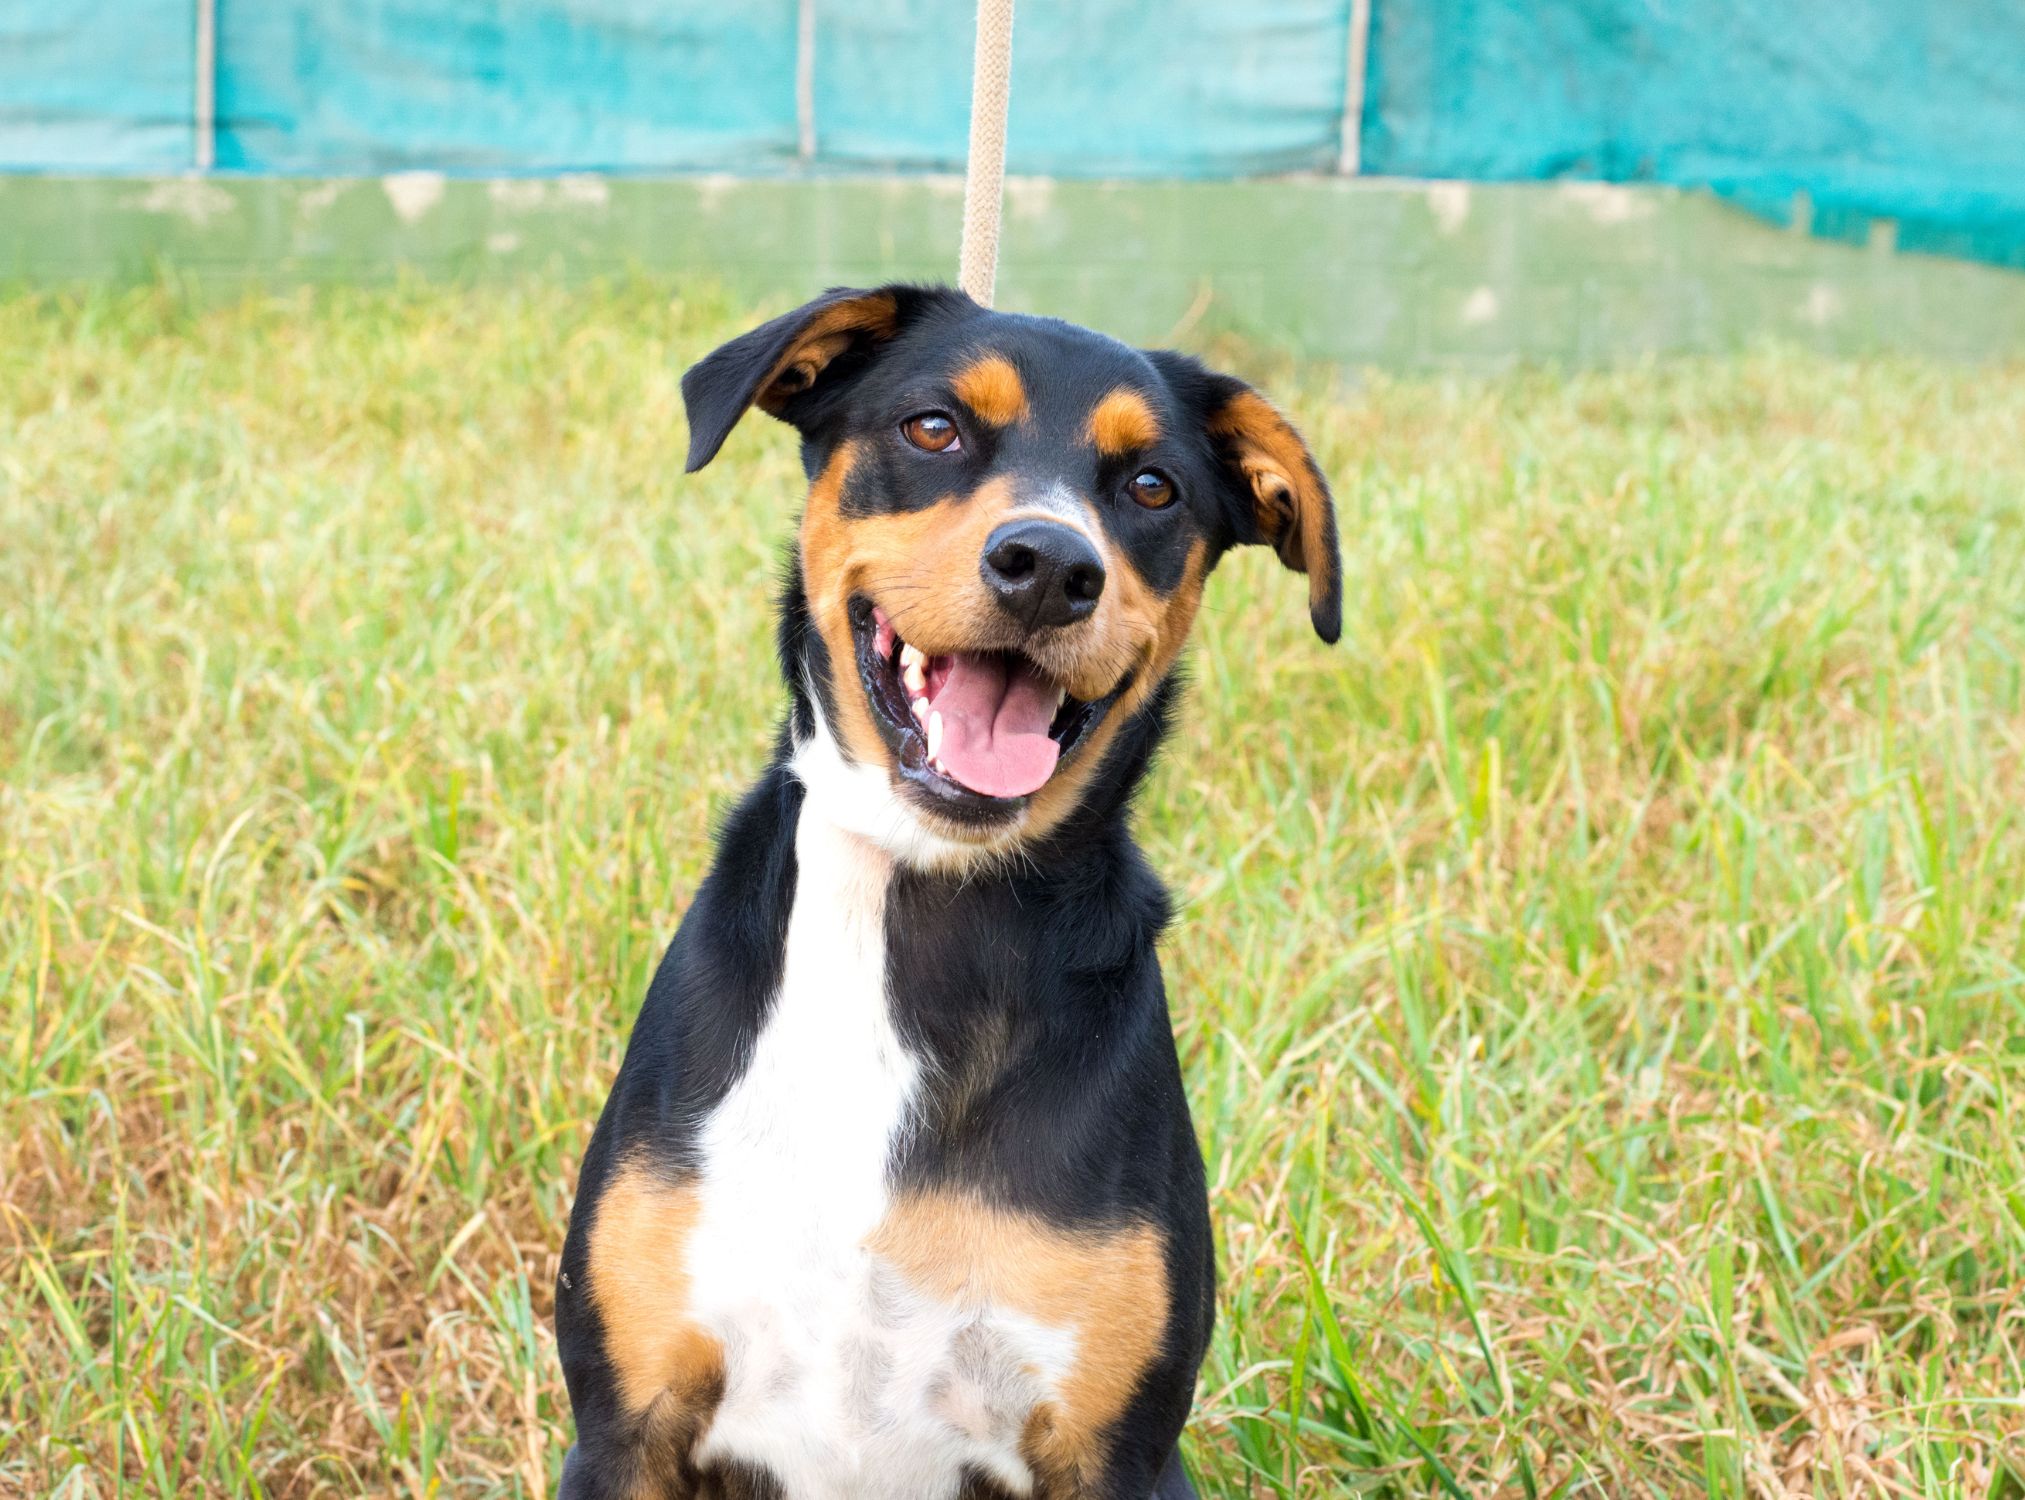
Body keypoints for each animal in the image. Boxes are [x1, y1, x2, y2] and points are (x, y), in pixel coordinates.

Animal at [558, 283, 1344, 1497]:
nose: (1051, 566)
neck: (915, 897)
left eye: (1151, 486)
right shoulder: (625, 1425)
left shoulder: (1113, 1452)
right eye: (934, 428)